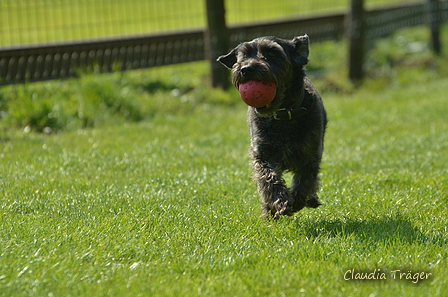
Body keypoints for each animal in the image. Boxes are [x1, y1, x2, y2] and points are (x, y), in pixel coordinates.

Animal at [218, 35, 328, 220]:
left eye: (272, 53)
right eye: (244, 55)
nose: (246, 69)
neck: (283, 115)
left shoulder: (310, 155)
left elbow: (305, 182)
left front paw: (297, 201)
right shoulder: (263, 154)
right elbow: (267, 179)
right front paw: (280, 202)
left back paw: (310, 199)